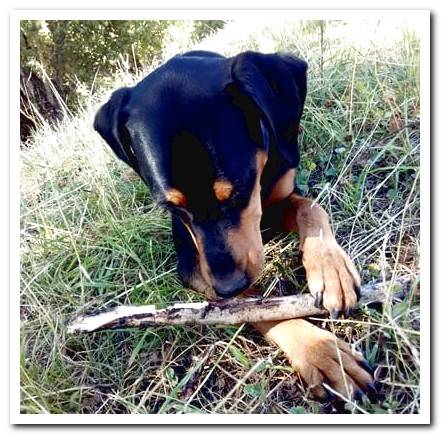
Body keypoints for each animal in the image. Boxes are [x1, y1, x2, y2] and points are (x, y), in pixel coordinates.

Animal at [93, 51, 374, 402]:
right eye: (171, 207)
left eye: (240, 189)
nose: (228, 287)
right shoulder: (192, 266)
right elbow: (252, 308)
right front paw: (321, 351)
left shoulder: (283, 194)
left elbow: (312, 208)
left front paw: (330, 269)